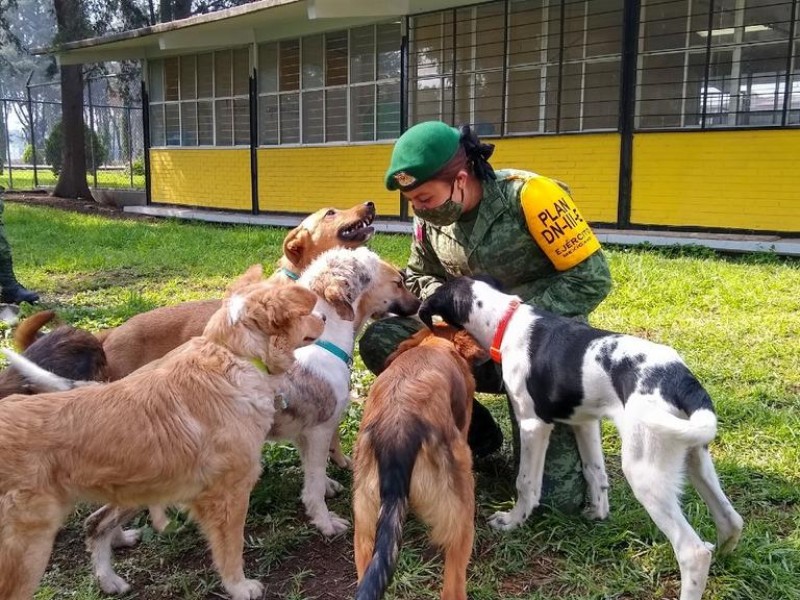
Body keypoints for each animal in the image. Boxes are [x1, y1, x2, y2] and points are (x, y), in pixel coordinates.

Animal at [0, 268, 326, 600]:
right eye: (304, 311)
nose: (326, 316)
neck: (235, 356)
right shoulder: (227, 495)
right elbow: (230, 550)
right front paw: (239, 586)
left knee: (95, 524)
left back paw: (110, 576)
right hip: (28, 550)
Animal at [418, 276, 744, 600]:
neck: (506, 321)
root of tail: (681, 379)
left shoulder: (533, 424)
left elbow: (526, 482)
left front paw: (513, 521)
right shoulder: (585, 422)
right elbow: (594, 471)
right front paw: (598, 513)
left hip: (645, 470)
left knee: (694, 552)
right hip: (695, 457)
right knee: (731, 520)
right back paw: (725, 562)